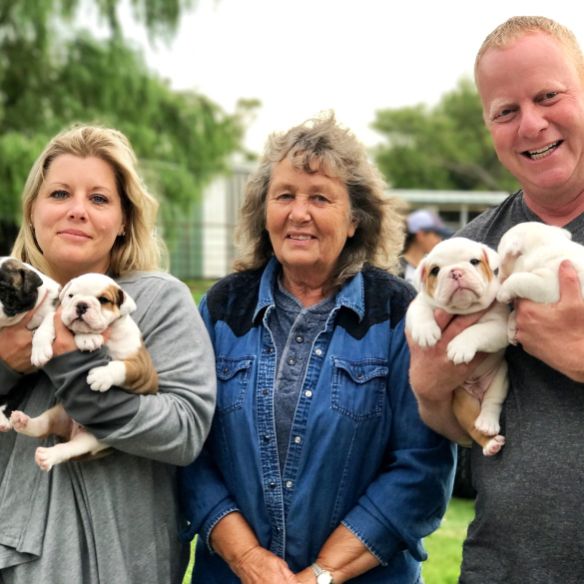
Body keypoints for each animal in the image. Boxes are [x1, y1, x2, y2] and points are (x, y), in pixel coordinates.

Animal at [11, 272, 157, 470]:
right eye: (71, 295)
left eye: (103, 300)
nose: (81, 305)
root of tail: (69, 430)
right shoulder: (58, 314)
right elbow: (49, 321)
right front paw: (41, 349)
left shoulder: (142, 368)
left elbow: (121, 367)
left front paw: (100, 375)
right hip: (58, 413)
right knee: (41, 425)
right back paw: (22, 421)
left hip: (94, 439)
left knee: (70, 448)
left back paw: (49, 455)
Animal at [406, 237, 512, 456]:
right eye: (435, 270)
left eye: (474, 261)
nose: (455, 272)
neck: (463, 309)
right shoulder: (418, 304)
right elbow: (420, 312)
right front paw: (426, 332)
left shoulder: (498, 326)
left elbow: (477, 330)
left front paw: (460, 347)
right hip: (462, 402)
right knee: (471, 426)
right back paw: (489, 443)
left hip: (500, 377)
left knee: (492, 402)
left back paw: (488, 426)